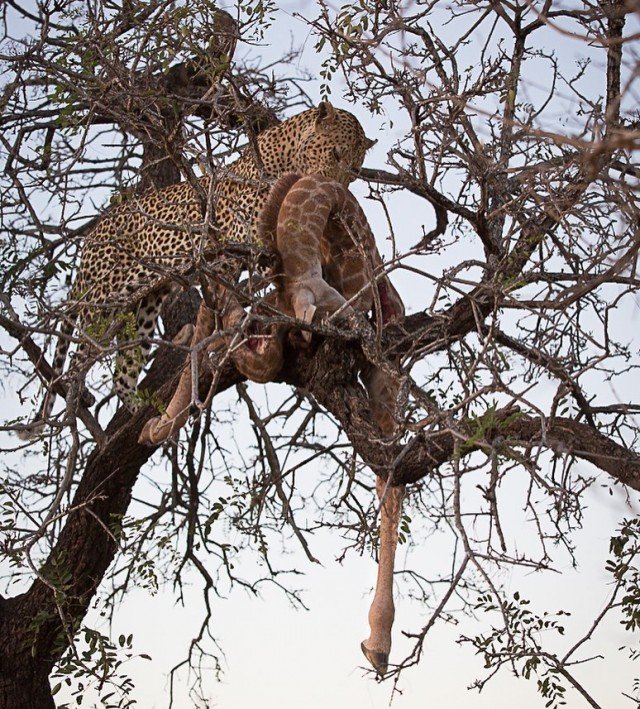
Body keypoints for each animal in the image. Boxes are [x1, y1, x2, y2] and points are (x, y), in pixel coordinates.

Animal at [21, 101, 376, 434]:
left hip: (144, 305)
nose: (335, 187)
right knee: (80, 353)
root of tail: (93, 234)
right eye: (335, 153)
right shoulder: (246, 236)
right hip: (104, 298)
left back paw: (141, 415)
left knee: (123, 372)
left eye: (355, 169)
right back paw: (77, 397)